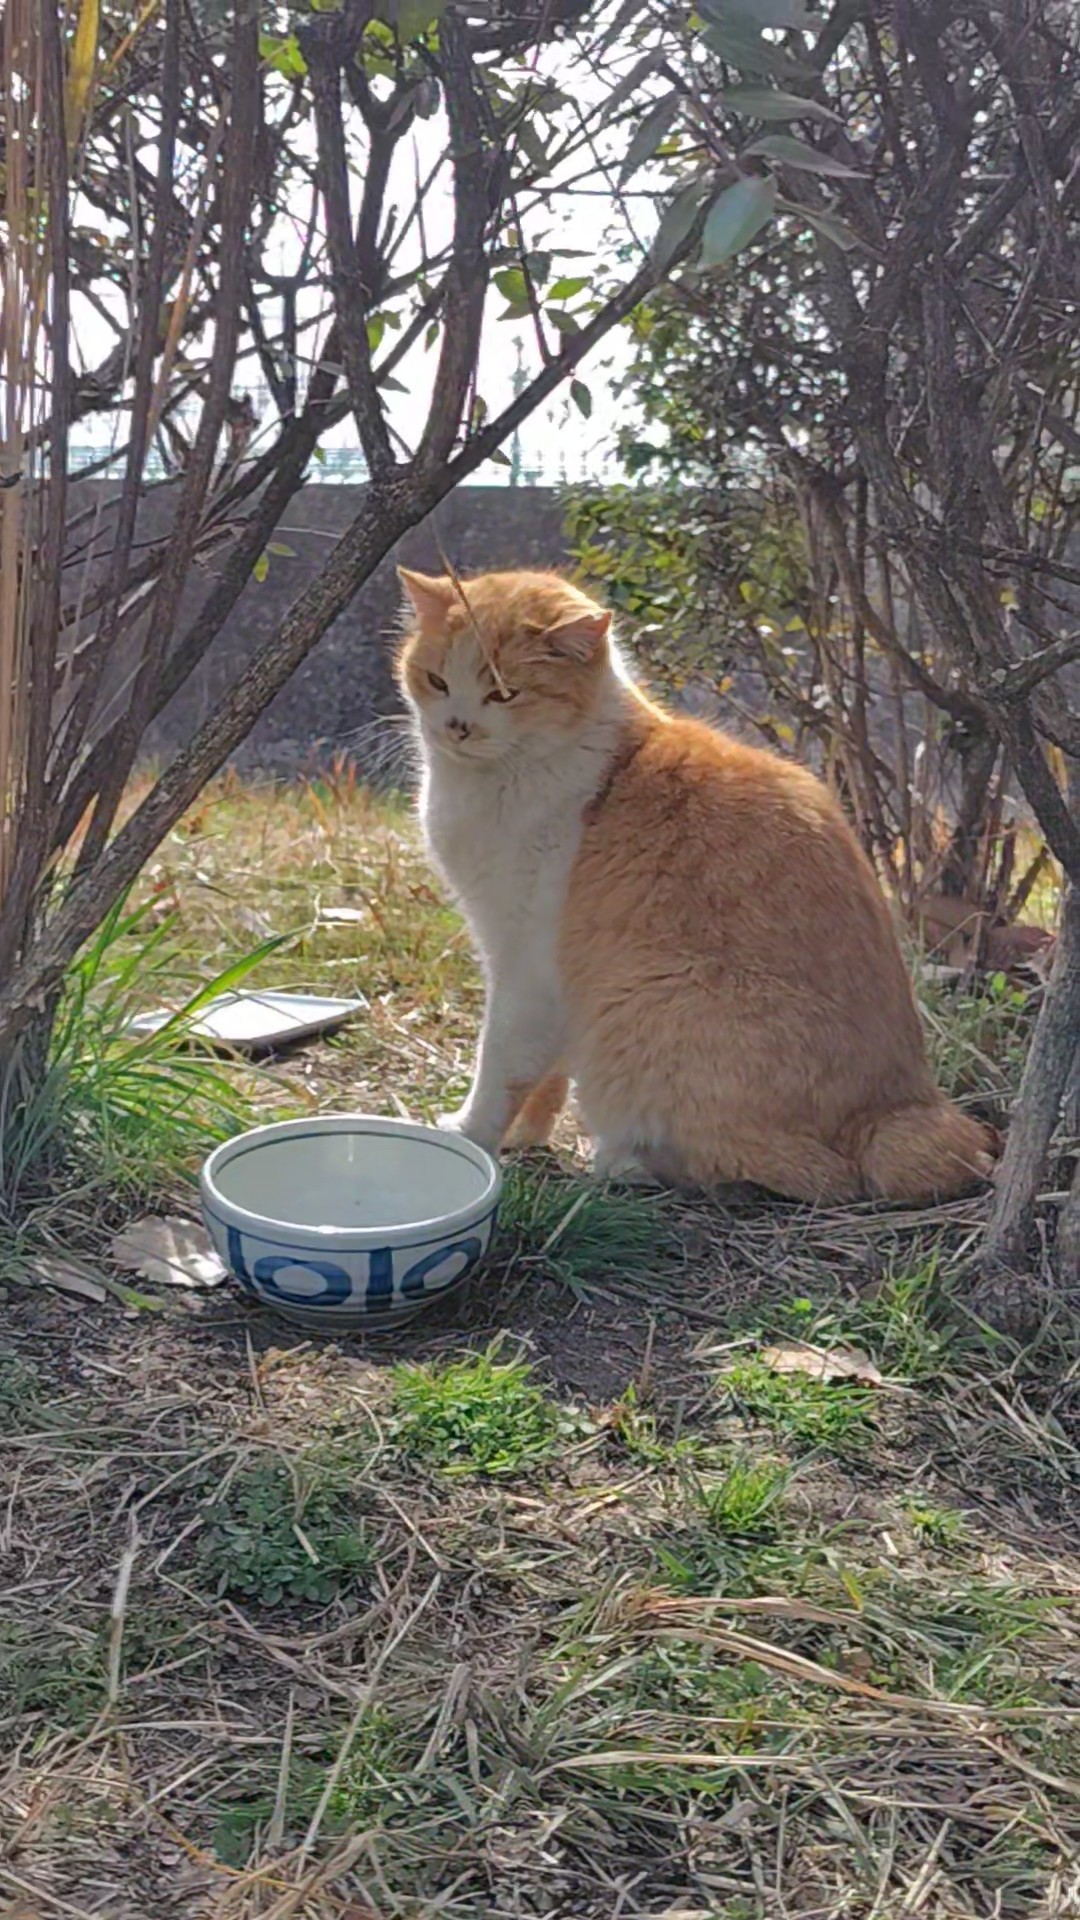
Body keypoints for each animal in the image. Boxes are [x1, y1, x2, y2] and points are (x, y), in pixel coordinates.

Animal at [396, 566, 998, 1204]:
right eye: (437, 680)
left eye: (504, 694)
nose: (457, 726)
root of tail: (897, 1108)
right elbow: (547, 1077)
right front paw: (525, 1137)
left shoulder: (526, 966)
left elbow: (502, 1066)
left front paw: (471, 1133)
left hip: (653, 1002)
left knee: (807, 1172)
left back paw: (629, 1162)